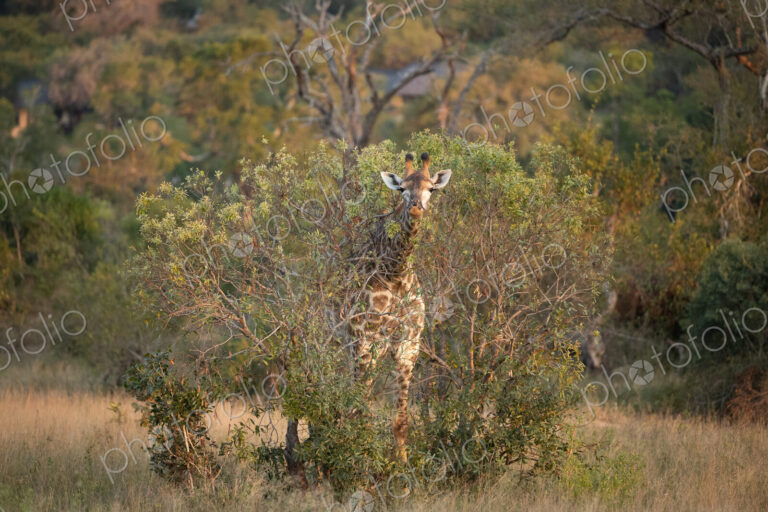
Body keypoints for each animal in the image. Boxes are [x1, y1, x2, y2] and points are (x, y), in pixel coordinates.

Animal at [348, 152, 452, 464]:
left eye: (431, 189)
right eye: (402, 189)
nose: (416, 208)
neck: (395, 272)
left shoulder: (409, 344)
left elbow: (401, 420)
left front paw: (403, 465)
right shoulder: (368, 341)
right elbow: (363, 411)